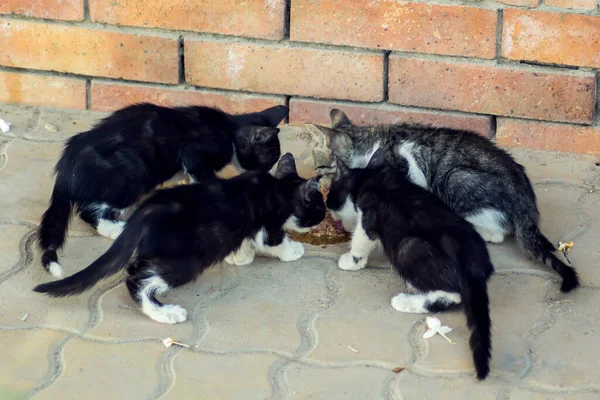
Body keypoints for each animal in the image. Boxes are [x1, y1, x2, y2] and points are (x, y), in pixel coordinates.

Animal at [35, 153, 326, 324]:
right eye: (320, 206)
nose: (325, 214)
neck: (278, 188)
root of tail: (147, 210)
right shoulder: (267, 224)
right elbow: (274, 241)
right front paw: (293, 250)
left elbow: (242, 239)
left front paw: (239, 257)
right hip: (185, 258)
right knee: (138, 279)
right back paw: (165, 313)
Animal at [38, 102, 290, 278]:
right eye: (269, 158)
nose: (268, 174)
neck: (228, 129)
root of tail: (67, 162)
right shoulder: (194, 151)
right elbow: (203, 174)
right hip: (133, 173)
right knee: (89, 210)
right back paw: (115, 228)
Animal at [310, 109, 576, 294]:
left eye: (320, 169)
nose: (315, 182)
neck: (373, 144)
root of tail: (526, 200)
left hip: (455, 177)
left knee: (497, 231)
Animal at [328, 148, 492, 380]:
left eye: (331, 196)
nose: (330, 213)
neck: (371, 177)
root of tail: (473, 264)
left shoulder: (369, 213)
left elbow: (362, 237)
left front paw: (352, 260)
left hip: (408, 248)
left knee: (452, 295)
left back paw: (405, 301)